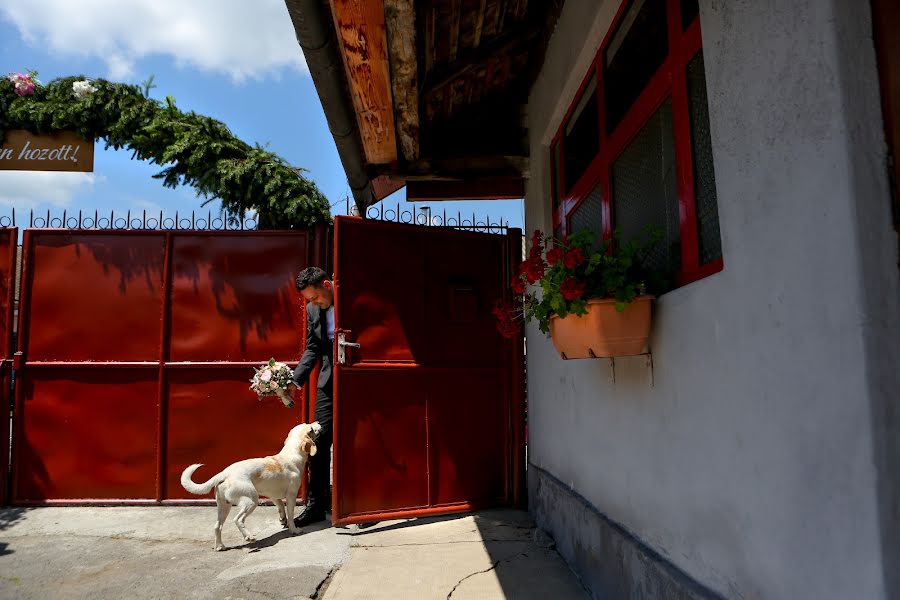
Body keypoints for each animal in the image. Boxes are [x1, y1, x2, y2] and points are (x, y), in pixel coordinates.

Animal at [178, 420, 320, 552]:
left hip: (224, 506)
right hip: (251, 501)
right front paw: (294, 529)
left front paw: (282, 520)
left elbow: (280, 506)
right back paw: (249, 537)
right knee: (238, 520)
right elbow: (290, 515)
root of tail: (225, 473)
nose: (318, 421)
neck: (291, 454)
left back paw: (220, 546)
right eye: (311, 429)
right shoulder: (291, 495)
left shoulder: (273, 496)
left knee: (217, 526)